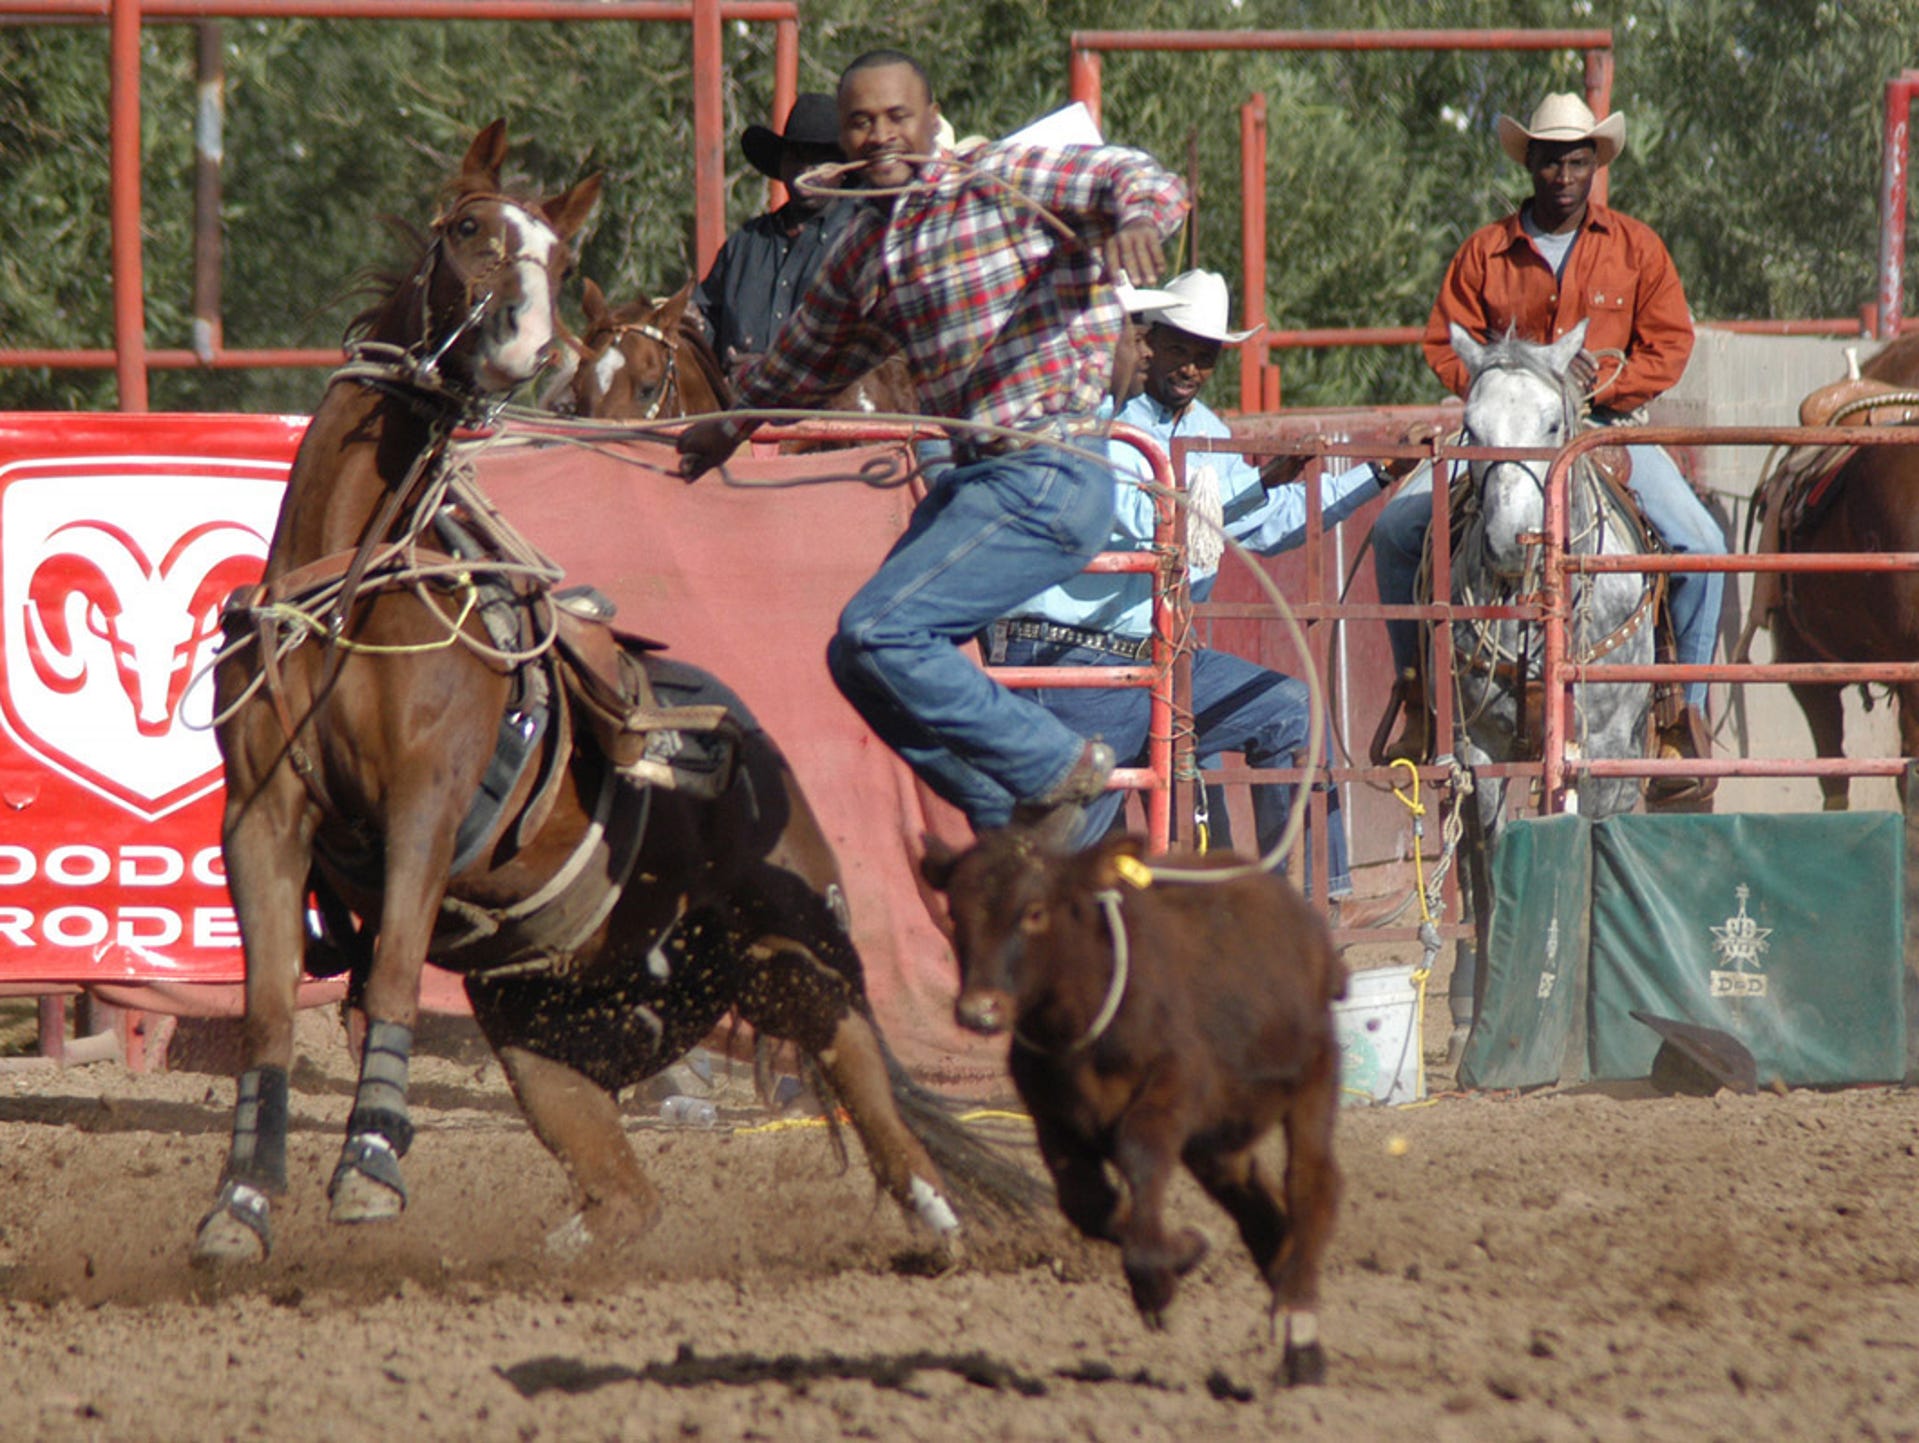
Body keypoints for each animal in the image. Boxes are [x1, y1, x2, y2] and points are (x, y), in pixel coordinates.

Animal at [192, 126, 1028, 1274]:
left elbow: (397, 964)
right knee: (626, 1193)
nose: (525, 346)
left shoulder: (425, 806)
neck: (352, 582)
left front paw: (367, 1162)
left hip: (790, 946)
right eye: (469, 229)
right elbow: (271, 1010)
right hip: (544, 1036)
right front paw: (239, 1202)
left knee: (862, 1070)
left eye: (554, 250)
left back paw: (941, 1227)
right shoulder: (264, 816)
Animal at [917, 828, 1343, 1381]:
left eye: (1034, 911)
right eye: (954, 913)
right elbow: (1086, 1203)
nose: (979, 1010)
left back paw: (1299, 1319)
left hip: (1314, 1076)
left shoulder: (1172, 1090)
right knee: (1253, 1202)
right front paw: (1183, 1250)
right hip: (1220, 1139)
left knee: (1312, 1183)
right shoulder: (1054, 1122)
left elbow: (1139, 1156)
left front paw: (1156, 1282)